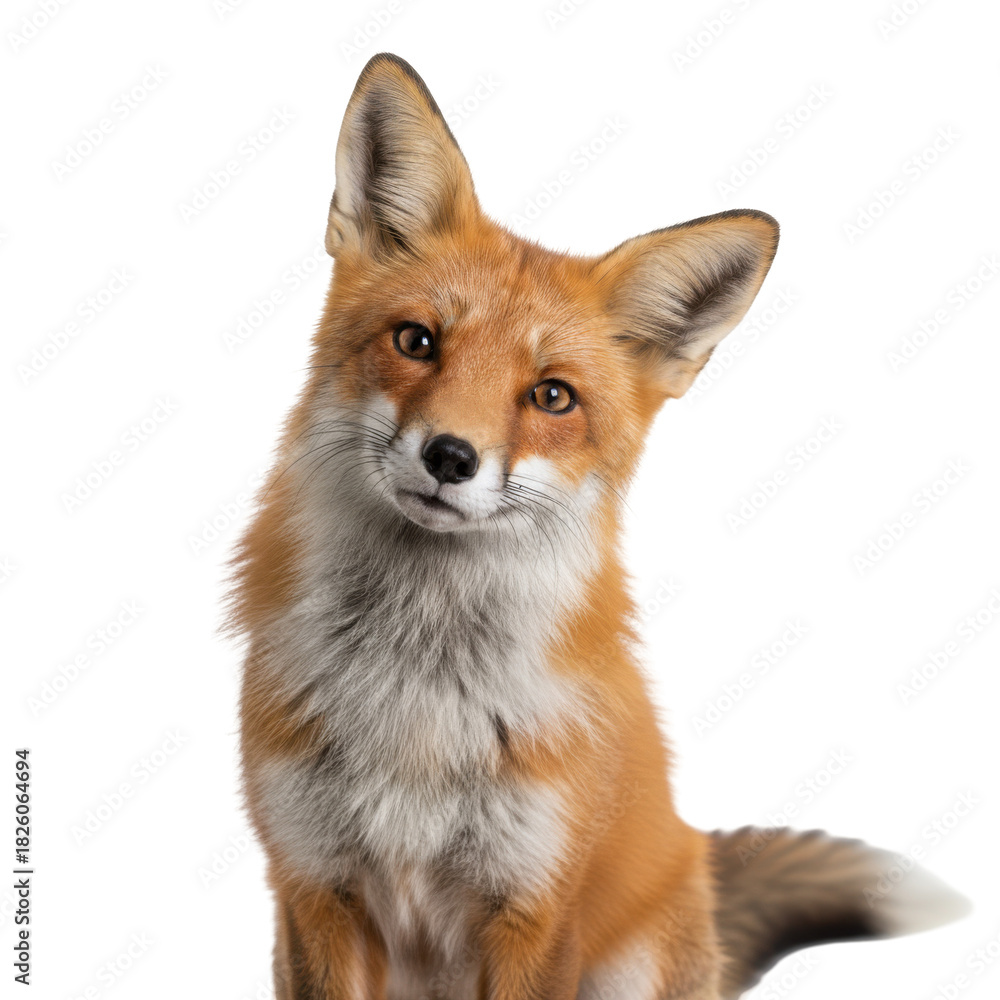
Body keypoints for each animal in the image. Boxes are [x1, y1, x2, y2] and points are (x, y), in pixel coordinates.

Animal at [231, 53, 968, 999]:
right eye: (417, 341)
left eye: (552, 396)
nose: (450, 456)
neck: (418, 708)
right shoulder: (312, 887)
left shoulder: (535, 909)